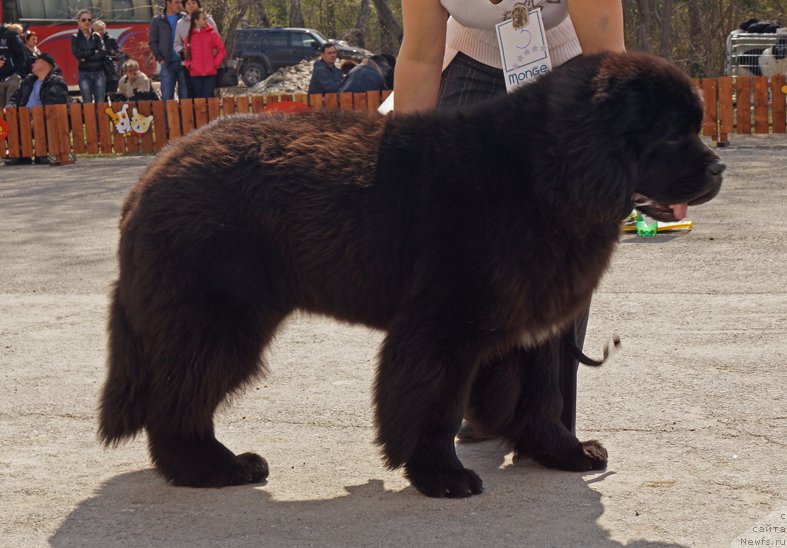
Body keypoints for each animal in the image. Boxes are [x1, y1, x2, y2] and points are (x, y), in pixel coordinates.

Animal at [100, 51, 728, 496]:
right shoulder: (442, 323)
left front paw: (561, 453)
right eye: (674, 134)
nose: (720, 166)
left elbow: (541, 396)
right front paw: (440, 475)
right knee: (179, 399)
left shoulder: (532, 324)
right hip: (217, 322)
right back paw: (214, 467)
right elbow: (432, 401)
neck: (543, 175)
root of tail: (150, 176)